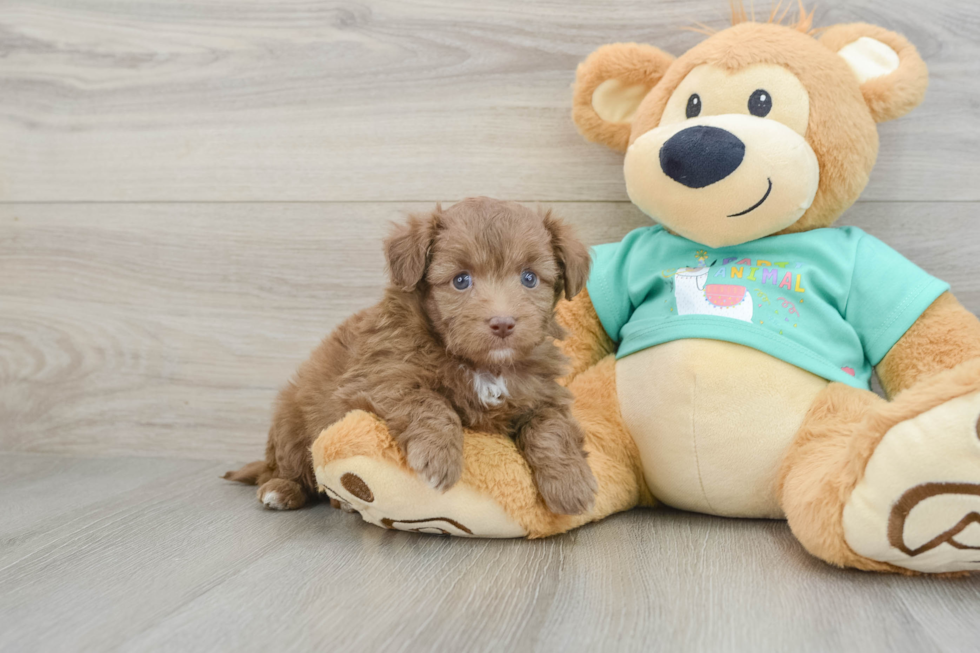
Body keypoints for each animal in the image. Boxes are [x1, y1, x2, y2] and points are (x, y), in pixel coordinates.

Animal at [228, 197, 596, 516]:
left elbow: (552, 428)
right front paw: (439, 457)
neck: (485, 366)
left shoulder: (543, 394)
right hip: (291, 421)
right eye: (461, 280)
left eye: (529, 278)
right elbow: (428, 401)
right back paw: (282, 489)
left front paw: (571, 484)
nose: (503, 323)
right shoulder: (378, 379)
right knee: (289, 467)